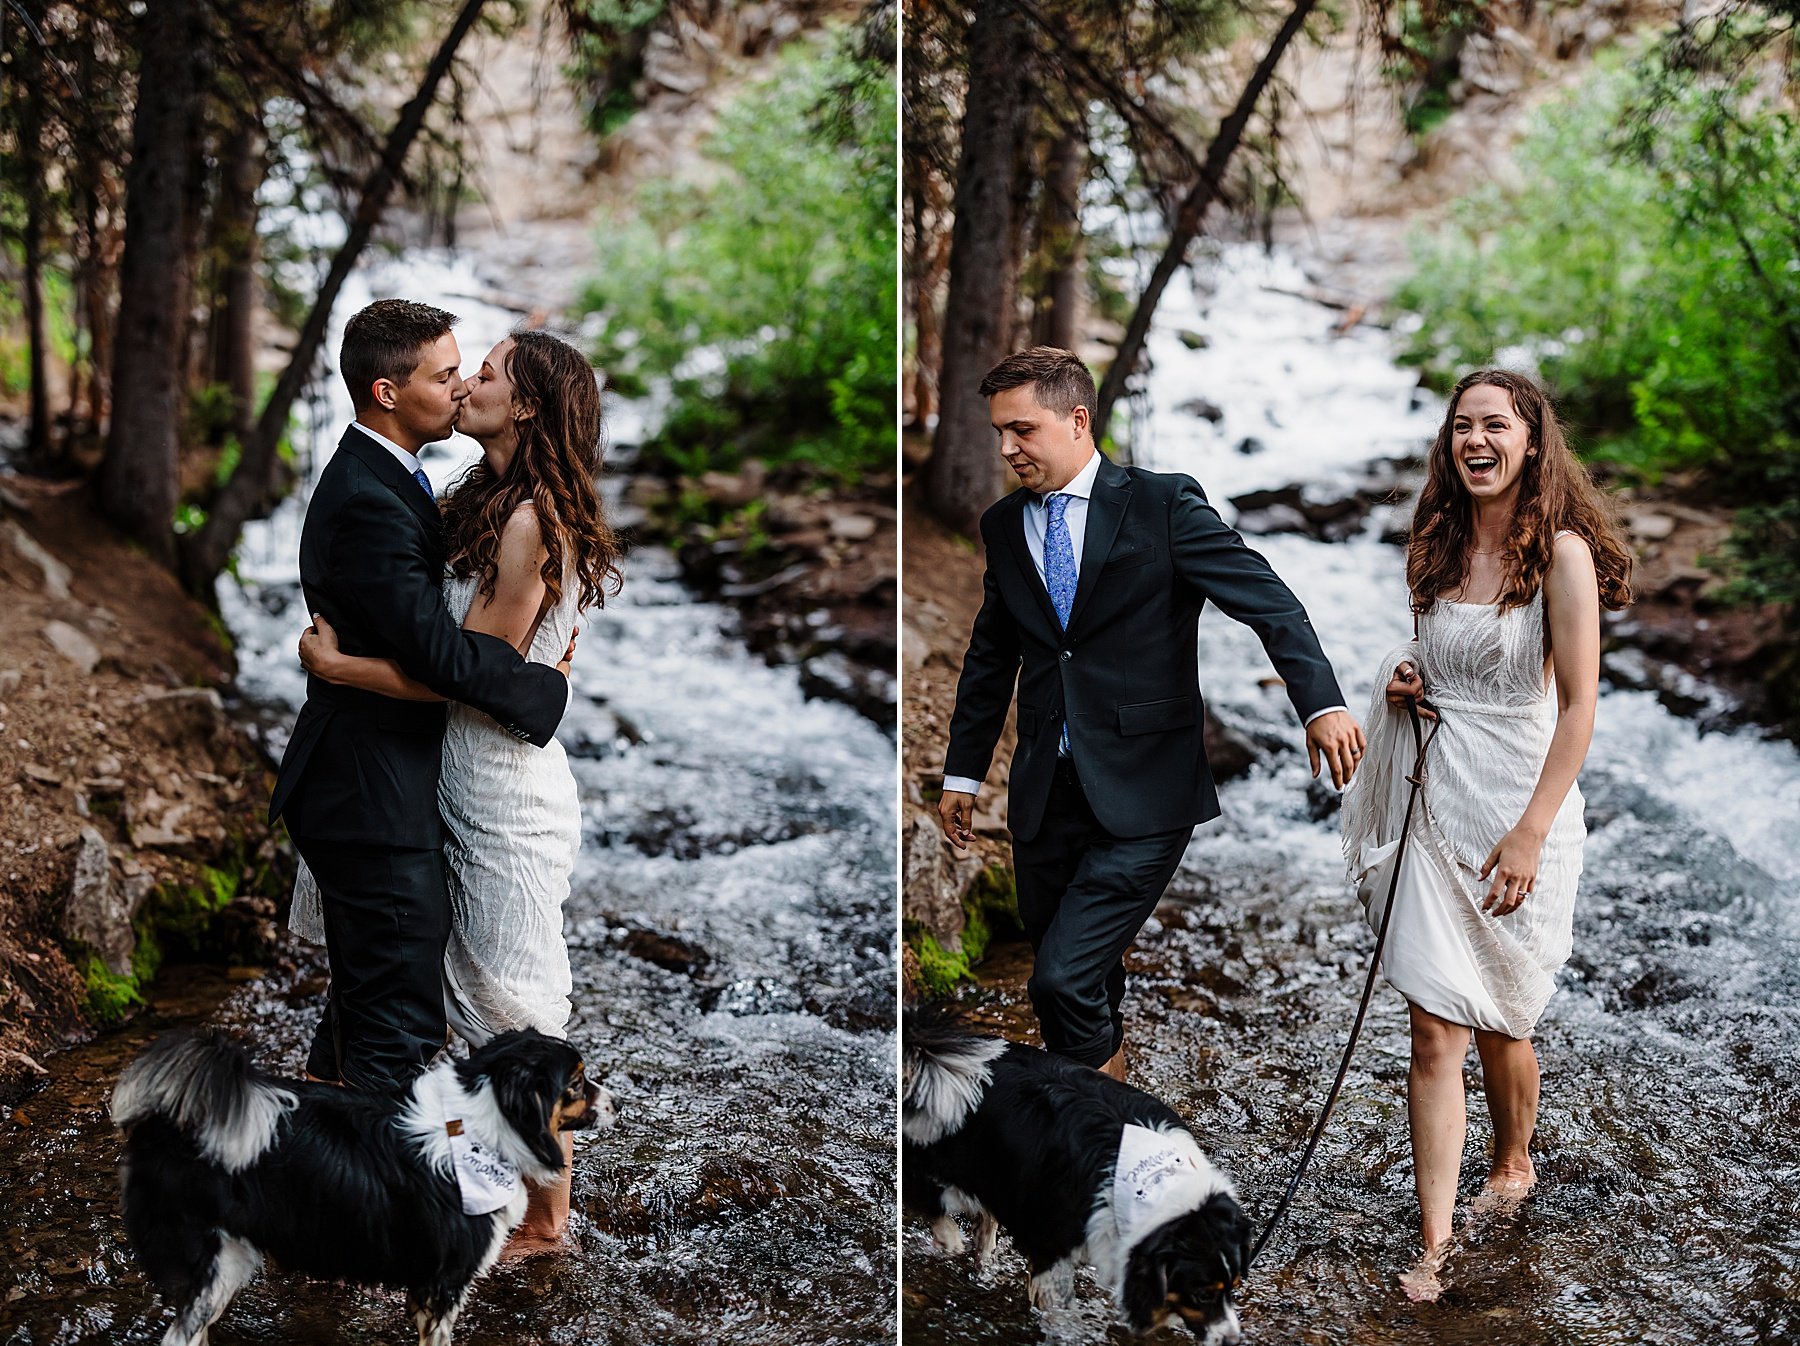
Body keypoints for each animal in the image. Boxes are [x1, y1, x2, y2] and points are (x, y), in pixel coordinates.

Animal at [116, 1022, 619, 1338]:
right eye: (576, 1083)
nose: (617, 1102)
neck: (481, 1126)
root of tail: (172, 1123)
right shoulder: (444, 1283)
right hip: (210, 1256)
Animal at [900, 1014, 1252, 1338]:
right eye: (1201, 1294)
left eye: (1234, 1286)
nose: (1233, 1340)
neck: (1153, 1181)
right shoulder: (1050, 1244)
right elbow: (1061, 1310)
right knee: (929, 1197)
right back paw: (950, 1240)